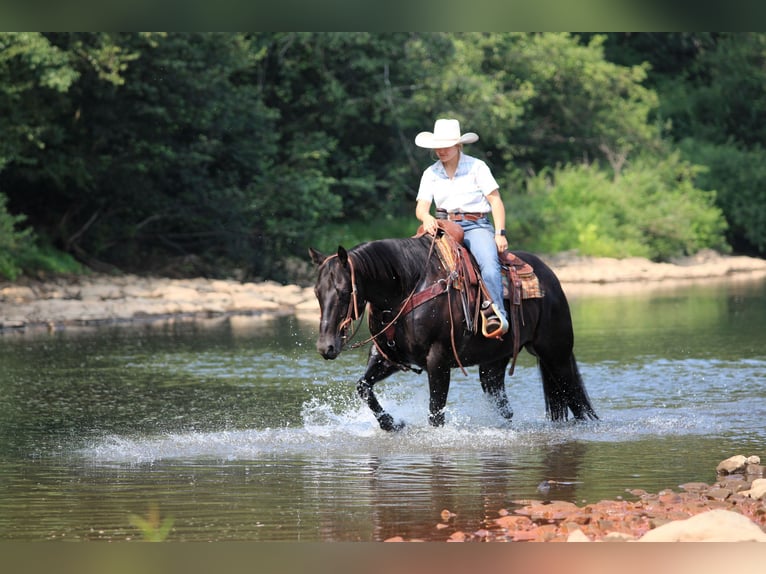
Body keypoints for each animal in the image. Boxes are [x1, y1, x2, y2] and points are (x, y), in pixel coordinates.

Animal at [309, 232, 597, 431]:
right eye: (317, 292)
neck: (406, 289)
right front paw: (392, 424)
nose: (326, 347)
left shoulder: (438, 360)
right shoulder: (387, 357)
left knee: (575, 399)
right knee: (504, 405)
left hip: (556, 356)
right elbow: (363, 387)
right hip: (493, 366)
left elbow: (436, 412)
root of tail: (550, 277)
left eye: (344, 292)